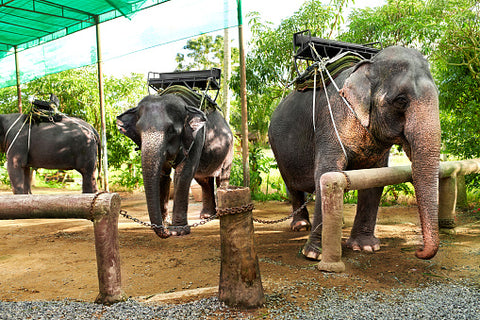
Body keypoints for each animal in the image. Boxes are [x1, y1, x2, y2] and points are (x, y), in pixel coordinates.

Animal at [118, 90, 234, 238]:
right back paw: (206, 216)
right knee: (204, 180)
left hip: (229, 150)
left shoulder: (196, 137)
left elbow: (183, 173)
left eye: (171, 130)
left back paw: (220, 214)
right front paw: (165, 224)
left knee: (222, 176)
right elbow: (163, 175)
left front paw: (178, 231)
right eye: (139, 130)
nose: (166, 232)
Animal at [268, 46, 440, 262]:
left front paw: (366, 247)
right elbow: (325, 173)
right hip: (277, 147)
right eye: (401, 100)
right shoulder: (332, 120)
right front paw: (313, 254)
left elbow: (376, 179)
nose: (418, 251)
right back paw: (301, 226)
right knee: (292, 185)